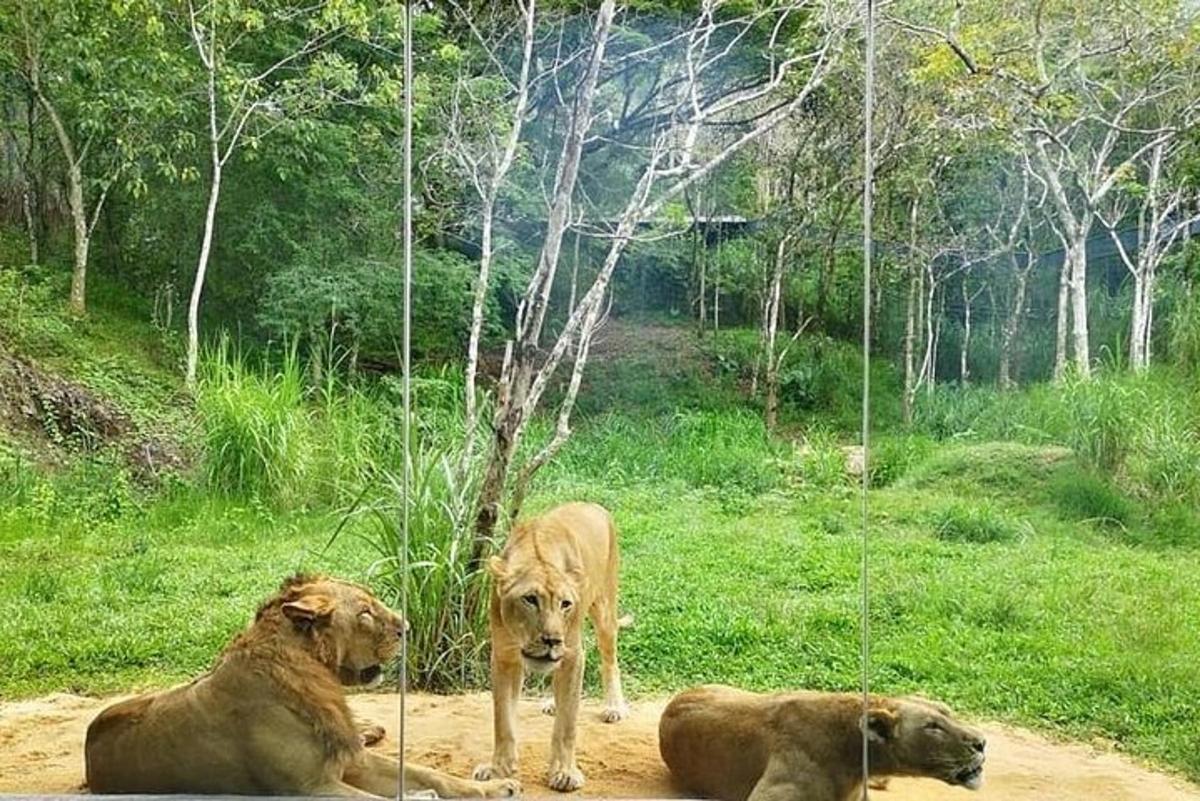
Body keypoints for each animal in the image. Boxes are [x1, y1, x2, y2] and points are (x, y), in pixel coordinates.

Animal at [84, 573, 516, 796]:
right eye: (364, 613)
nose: (407, 628)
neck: (316, 675)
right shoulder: (310, 787)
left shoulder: (352, 762)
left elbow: (430, 774)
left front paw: (496, 788)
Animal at [475, 503, 633, 791]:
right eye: (530, 599)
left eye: (565, 604)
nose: (552, 641)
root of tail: (594, 504)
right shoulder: (504, 656)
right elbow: (502, 721)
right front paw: (498, 770)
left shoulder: (572, 655)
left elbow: (567, 726)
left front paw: (565, 773)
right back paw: (552, 702)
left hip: (605, 608)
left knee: (610, 659)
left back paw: (614, 707)